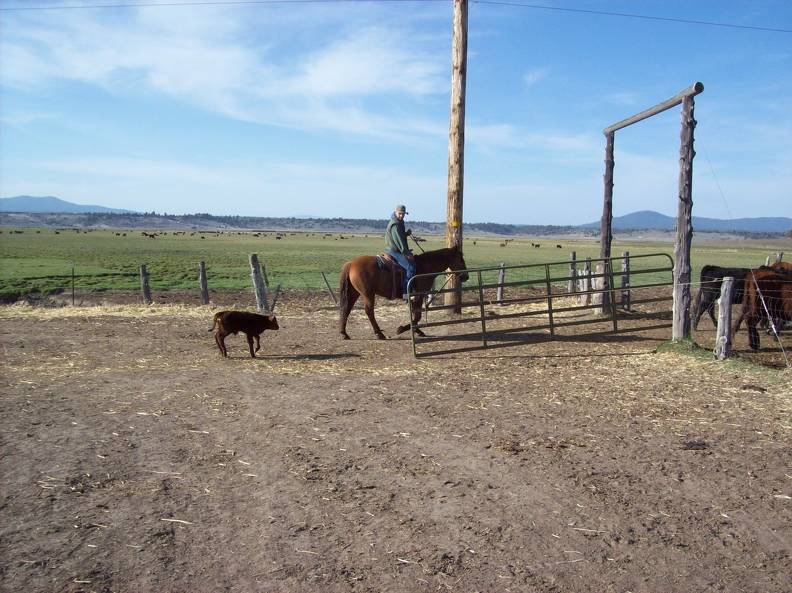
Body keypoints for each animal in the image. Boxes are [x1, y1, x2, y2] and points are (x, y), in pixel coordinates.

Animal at [338, 244, 468, 338]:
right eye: (461, 260)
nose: (466, 277)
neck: (425, 266)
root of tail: (351, 263)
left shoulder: (415, 297)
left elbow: (415, 314)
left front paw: (417, 331)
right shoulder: (419, 295)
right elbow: (418, 315)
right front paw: (402, 329)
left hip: (355, 293)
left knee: (346, 309)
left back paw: (344, 333)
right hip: (368, 294)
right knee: (369, 311)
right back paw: (379, 333)